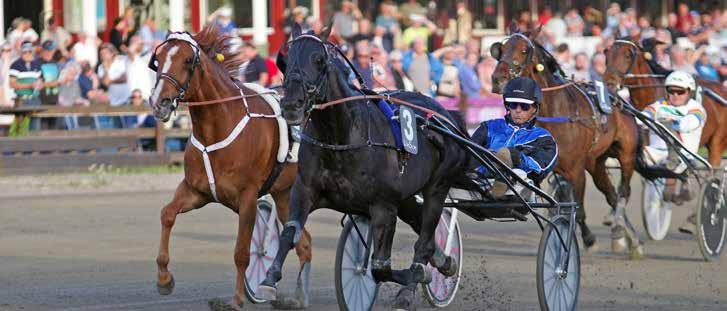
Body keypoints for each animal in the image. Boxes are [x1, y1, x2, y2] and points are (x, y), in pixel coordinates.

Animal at [148, 25, 312, 310]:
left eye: (188, 60)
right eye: (158, 60)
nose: (160, 102)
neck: (218, 127)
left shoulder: (247, 197)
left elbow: (242, 253)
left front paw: (236, 299)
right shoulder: (196, 190)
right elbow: (167, 214)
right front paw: (164, 279)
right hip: (285, 195)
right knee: (305, 244)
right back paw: (298, 297)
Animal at [256, 25, 470, 310]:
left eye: (319, 59)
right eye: (285, 60)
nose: (291, 105)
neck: (342, 137)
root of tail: (447, 116)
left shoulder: (383, 206)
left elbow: (379, 267)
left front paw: (414, 276)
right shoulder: (305, 190)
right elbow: (290, 233)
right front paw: (268, 279)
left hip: (437, 186)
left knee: (424, 239)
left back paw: (412, 286)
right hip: (405, 198)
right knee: (421, 226)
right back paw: (444, 261)